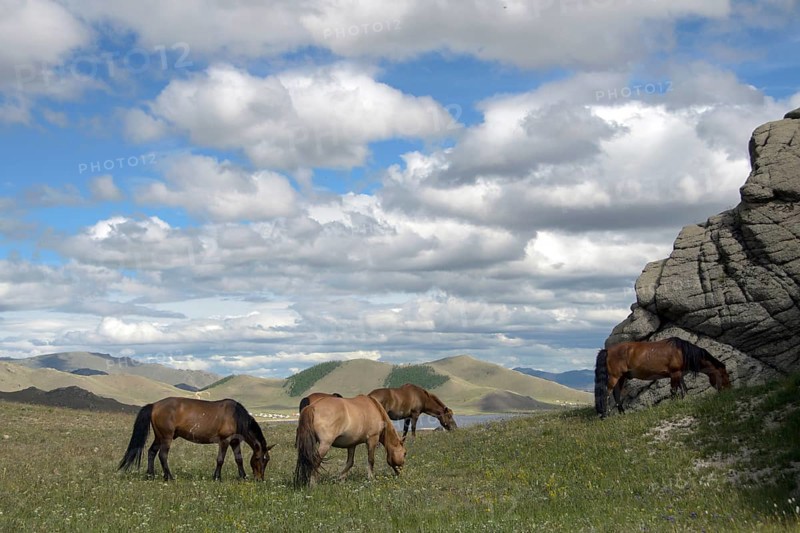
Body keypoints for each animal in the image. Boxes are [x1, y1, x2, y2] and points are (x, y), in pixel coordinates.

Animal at [118, 397, 275, 481]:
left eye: (266, 460)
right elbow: (220, 460)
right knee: (162, 455)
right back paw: (169, 477)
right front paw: (217, 477)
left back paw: (151, 475)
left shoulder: (235, 442)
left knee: (151, 452)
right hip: (166, 437)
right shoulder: (224, 441)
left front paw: (242, 476)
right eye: (258, 459)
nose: (260, 479)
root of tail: (155, 405)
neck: (235, 416)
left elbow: (239, 459)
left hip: (159, 436)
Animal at [594, 337, 731, 418]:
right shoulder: (674, 374)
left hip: (622, 377)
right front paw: (673, 404)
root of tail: (608, 350)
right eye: (724, 375)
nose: (728, 389)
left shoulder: (679, 374)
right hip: (614, 376)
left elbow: (684, 389)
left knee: (616, 394)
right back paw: (605, 415)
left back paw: (622, 413)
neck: (682, 352)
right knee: (606, 393)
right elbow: (674, 390)